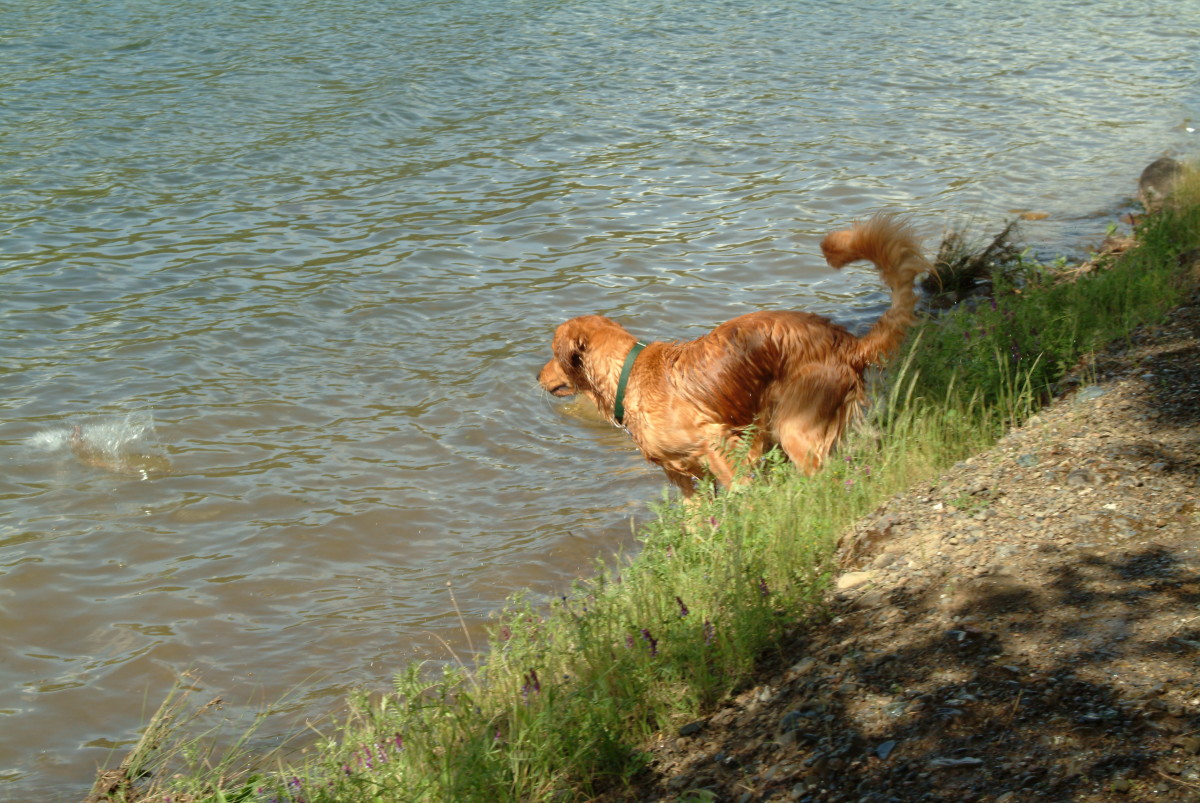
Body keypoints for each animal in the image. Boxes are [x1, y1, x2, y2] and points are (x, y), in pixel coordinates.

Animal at [540, 212, 931, 494]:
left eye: (553, 354)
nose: (537, 376)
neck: (628, 377)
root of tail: (848, 342)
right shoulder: (683, 476)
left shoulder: (717, 440)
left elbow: (739, 489)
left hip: (795, 428)